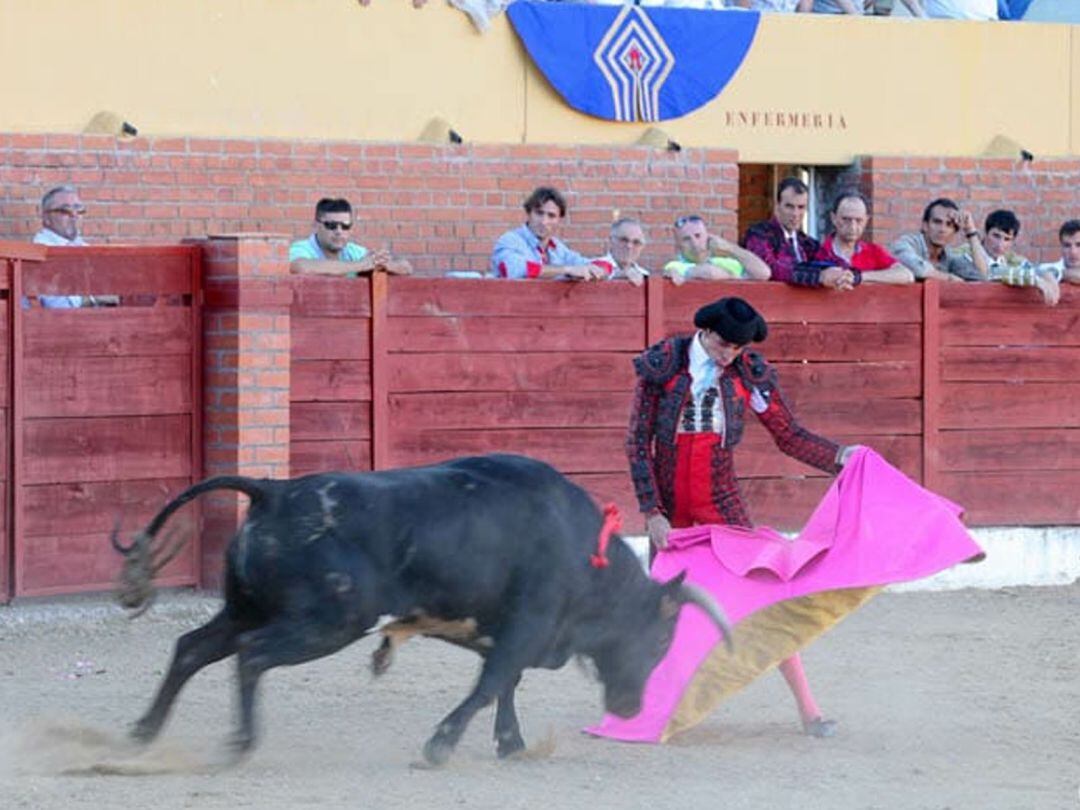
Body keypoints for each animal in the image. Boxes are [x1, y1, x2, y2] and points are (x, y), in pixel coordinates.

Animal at [111, 457, 734, 768]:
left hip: (246, 607)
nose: (630, 709)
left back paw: (143, 732)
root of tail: (275, 491)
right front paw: (440, 746)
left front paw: (511, 744)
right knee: (251, 655)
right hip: (326, 623)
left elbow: (504, 685)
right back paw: (239, 744)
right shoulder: (529, 627)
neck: (585, 550)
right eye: (662, 640)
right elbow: (491, 684)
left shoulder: (511, 634)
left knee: (192, 648)